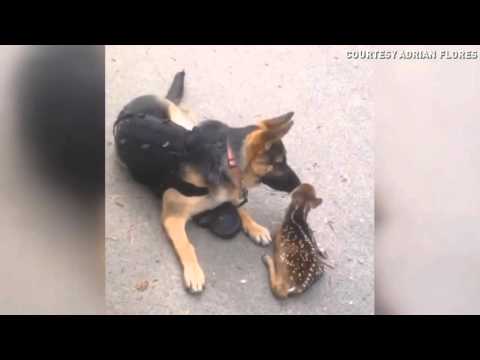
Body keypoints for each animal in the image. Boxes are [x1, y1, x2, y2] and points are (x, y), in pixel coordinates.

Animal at [113, 71, 300, 292]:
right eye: (279, 164)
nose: (298, 184)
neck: (225, 159)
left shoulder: (229, 191)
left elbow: (240, 207)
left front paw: (255, 227)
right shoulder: (173, 218)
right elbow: (187, 245)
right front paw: (194, 272)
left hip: (184, 122)